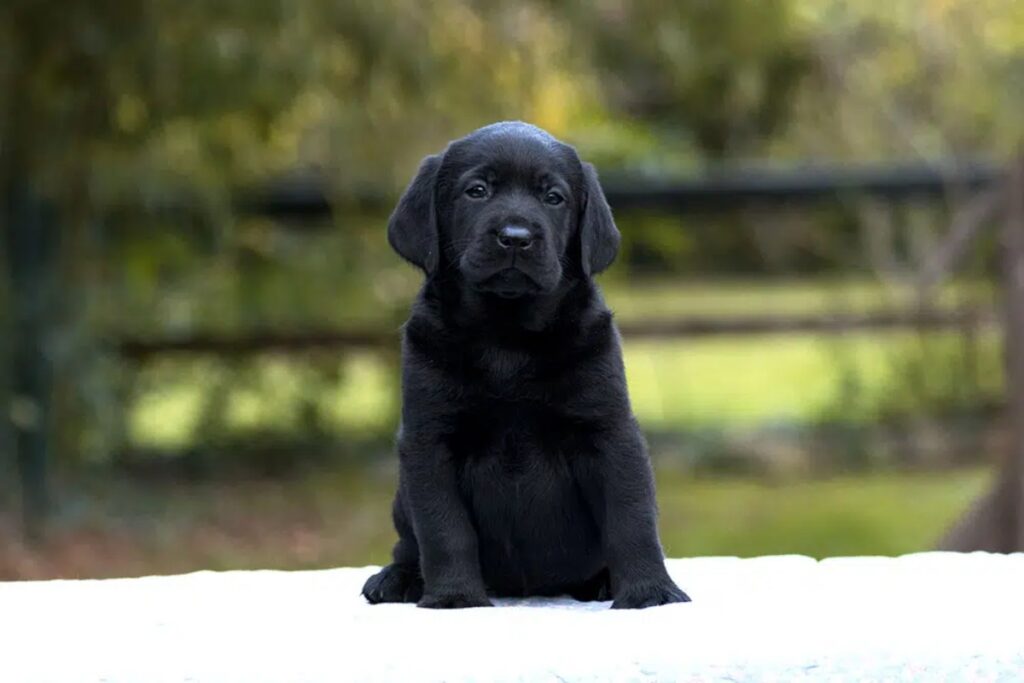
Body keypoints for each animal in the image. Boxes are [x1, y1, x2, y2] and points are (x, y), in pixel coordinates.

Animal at [360, 121, 688, 610]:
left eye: (553, 197)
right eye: (476, 191)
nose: (516, 236)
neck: (507, 338)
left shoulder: (610, 431)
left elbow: (631, 518)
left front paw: (650, 591)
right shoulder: (429, 441)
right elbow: (444, 529)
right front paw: (454, 597)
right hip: (401, 497)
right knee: (408, 544)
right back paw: (398, 578)